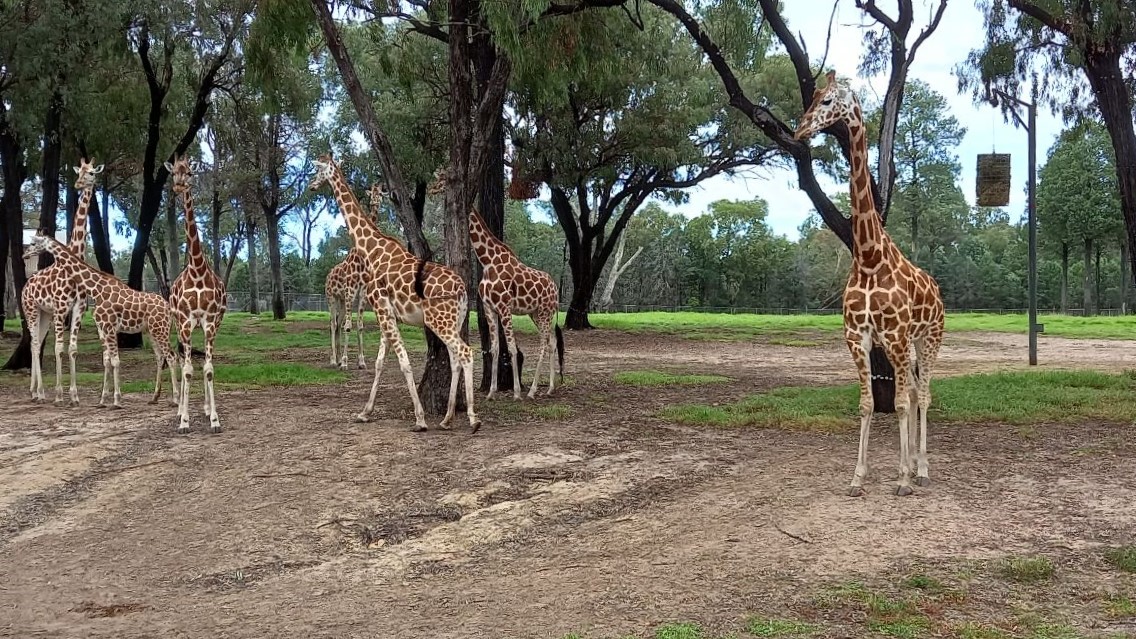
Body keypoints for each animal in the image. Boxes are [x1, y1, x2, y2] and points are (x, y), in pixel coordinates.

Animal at [20, 157, 104, 404]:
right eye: (80, 172)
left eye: (92, 172)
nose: (78, 184)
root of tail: (25, 286)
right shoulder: (60, 309)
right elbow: (58, 349)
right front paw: (59, 394)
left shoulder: (78, 309)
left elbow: (72, 349)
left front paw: (74, 395)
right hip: (31, 310)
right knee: (35, 344)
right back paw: (40, 392)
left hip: (44, 314)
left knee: (37, 344)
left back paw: (35, 391)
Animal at [23, 231, 180, 408]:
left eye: (34, 243)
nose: (25, 254)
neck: (96, 290)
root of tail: (168, 308)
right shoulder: (102, 327)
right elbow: (107, 361)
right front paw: (103, 400)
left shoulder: (110, 327)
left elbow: (116, 361)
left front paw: (117, 400)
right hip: (151, 331)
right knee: (160, 357)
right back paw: (154, 397)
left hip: (160, 330)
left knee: (172, 356)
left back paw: (175, 399)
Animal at [325, 183, 386, 370]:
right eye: (371, 193)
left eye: (381, 194)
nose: (374, 202)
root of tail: (328, 276)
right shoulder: (350, 290)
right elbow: (348, 326)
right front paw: (345, 362)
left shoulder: (362, 292)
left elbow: (359, 326)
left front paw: (361, 361)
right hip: (331, 298)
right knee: (333, 324)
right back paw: (333, 360)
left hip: (341, 300)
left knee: (338, 323)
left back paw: (337, 359)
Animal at [428, 172, 563, 400]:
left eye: (442, 178)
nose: (431, 189)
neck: (487, 261)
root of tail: (555, 288)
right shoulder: (489, 308)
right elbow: (495, 349)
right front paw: (491, 392)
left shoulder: (505, 307)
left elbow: (511, 348)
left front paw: (516, 392)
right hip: (535, 313)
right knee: (552, 342)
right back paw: (550, 388)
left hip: (545, 311)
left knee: (544, 343)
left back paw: (532, 391)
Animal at [793, 71, 945, 497]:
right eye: (812, 97)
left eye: (828, 101)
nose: (798, 130)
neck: (868, 257)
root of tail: (938, 291)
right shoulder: (857, 336)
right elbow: (868, 403)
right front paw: (858, 477)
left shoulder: (893, 336)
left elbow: (899, 404)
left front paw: (903, 479)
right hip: (905, 345)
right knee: (914, 391)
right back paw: (911, 464)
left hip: (928, 338)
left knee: (924, 394)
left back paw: (921, 469)